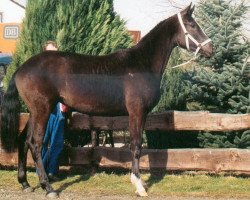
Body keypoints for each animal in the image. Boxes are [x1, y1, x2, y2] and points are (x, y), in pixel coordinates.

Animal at [0, 3, 213, 198]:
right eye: (192, 24)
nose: (210, 48)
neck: (141, 63)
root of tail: (21, 69)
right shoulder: (137, 111)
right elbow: (136, 145)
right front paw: (139, 186)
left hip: (35, 111)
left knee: (23, 140)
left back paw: (25, 183)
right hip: (42, 110)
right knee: (35, 143)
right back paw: (48, 187)